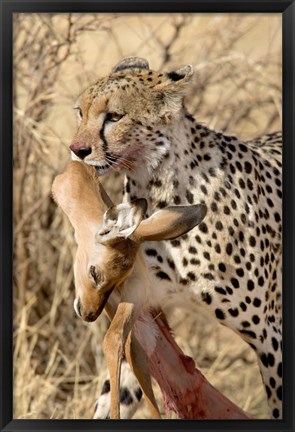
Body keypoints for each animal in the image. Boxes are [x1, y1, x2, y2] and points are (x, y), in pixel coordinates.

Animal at [70, 57, 284, 418]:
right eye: (80, 112)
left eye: (114, 116)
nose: (77, 150)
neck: (157, 185)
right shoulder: (144, 309)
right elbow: (116, 389)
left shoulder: (272, 331)